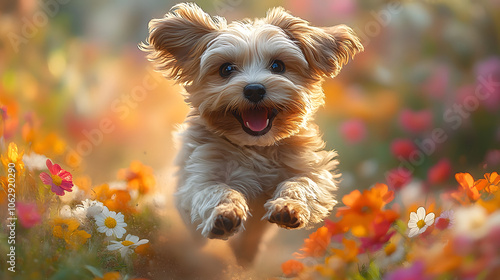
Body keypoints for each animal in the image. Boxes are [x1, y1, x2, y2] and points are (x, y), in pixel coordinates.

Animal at [141, 2, 364, 264]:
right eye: (226, 69)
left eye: (278, 66)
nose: (255, 89)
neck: (257, 146)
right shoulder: (200, 173)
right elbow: (216, 191)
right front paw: (225, 214)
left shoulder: (310, 168)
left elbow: (302, 183)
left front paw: (288, 208)